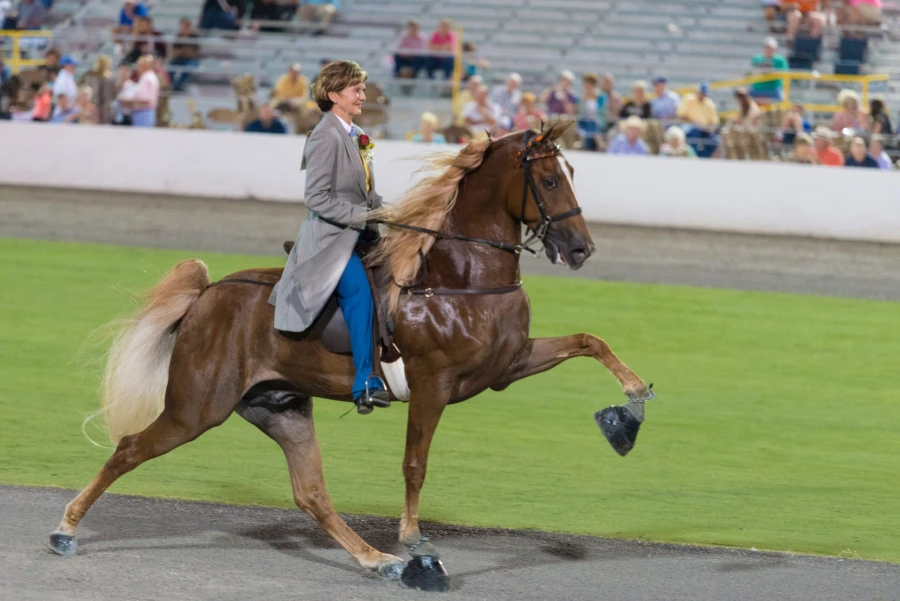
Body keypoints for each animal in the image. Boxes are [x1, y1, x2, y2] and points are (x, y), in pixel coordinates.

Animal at [49, 123, 652, 592]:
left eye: (569, 173)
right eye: (549, 180)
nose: (581, 249)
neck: (459, 280)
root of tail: (208, 293)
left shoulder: (508, 364)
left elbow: (589, 341)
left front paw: (629, 410)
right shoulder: (432, 384)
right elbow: (415, 464)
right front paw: (416, 543)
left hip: (282, 408)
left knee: (311, 494)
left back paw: (375, 560)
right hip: (196, 408)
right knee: (129, 449)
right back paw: (65, 529)